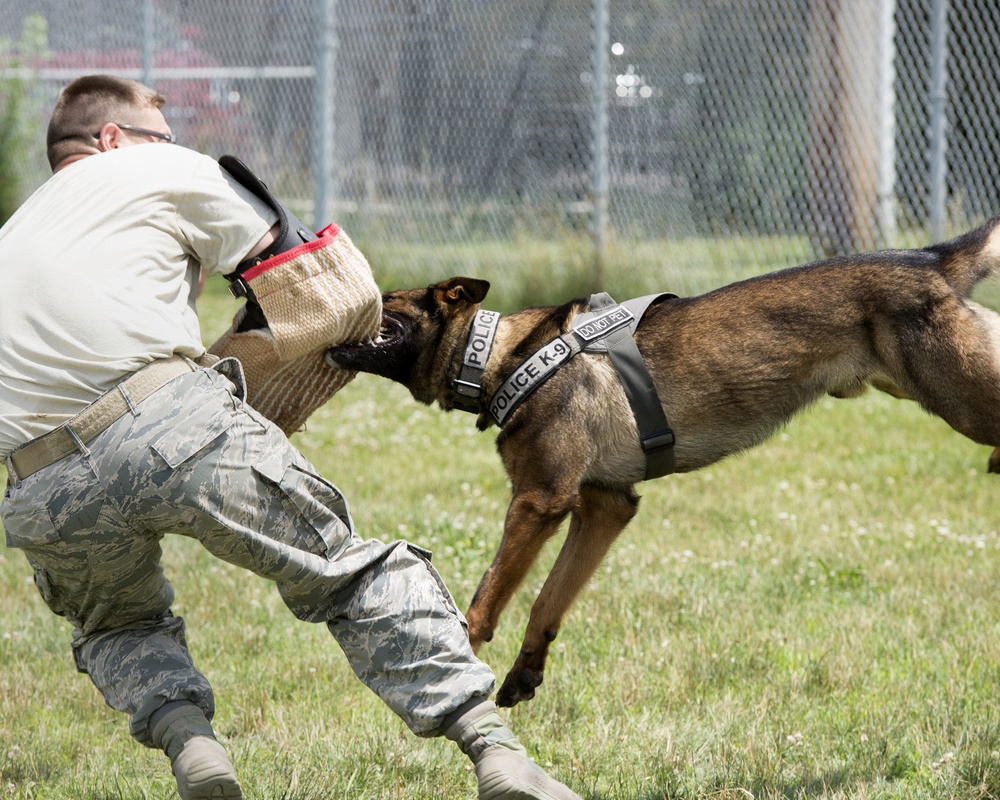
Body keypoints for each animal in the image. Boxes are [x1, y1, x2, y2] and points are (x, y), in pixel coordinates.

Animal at [326, 220, 1000, 708]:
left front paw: (453, 656)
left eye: (388, 299)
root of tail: (931, 258)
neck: (499, 353)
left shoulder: (539, 501)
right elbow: (548, 600)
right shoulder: (604, 508)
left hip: (961, 394)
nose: (352, 301)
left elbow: (488, 596)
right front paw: (524, 673)